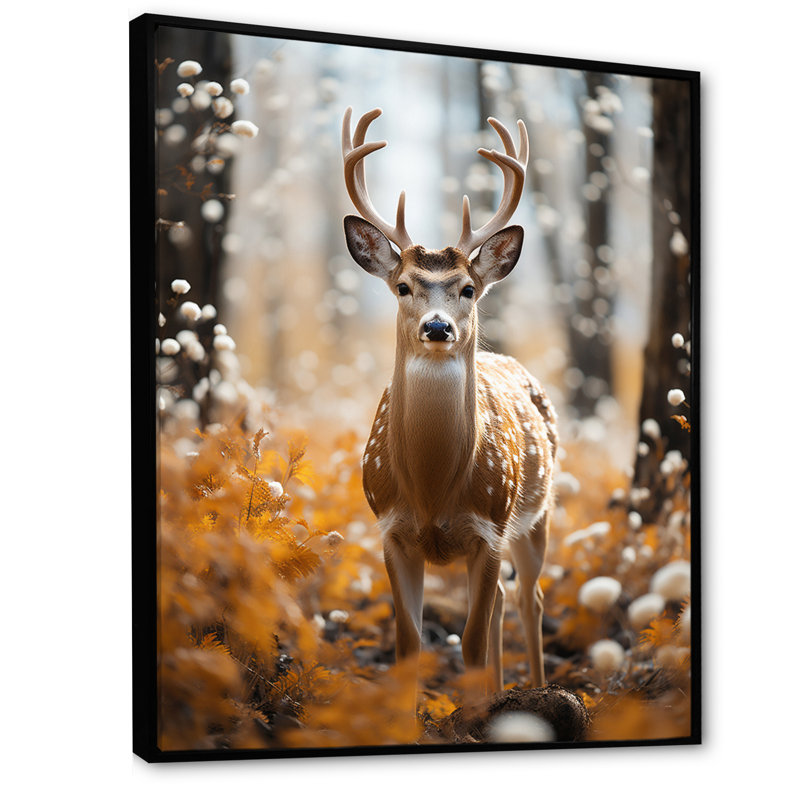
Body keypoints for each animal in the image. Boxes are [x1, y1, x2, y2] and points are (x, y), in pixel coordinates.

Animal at [341, 107, 558, 699]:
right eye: (402, 287)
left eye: (467, 288)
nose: (437, 328)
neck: (433, 491)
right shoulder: (390, 529)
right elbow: (410, 645)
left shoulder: (490, 528)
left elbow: (472, 645)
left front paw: (477, 710)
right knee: (506, 600)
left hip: (537, 514)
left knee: (528, 599)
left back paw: (532, 690)